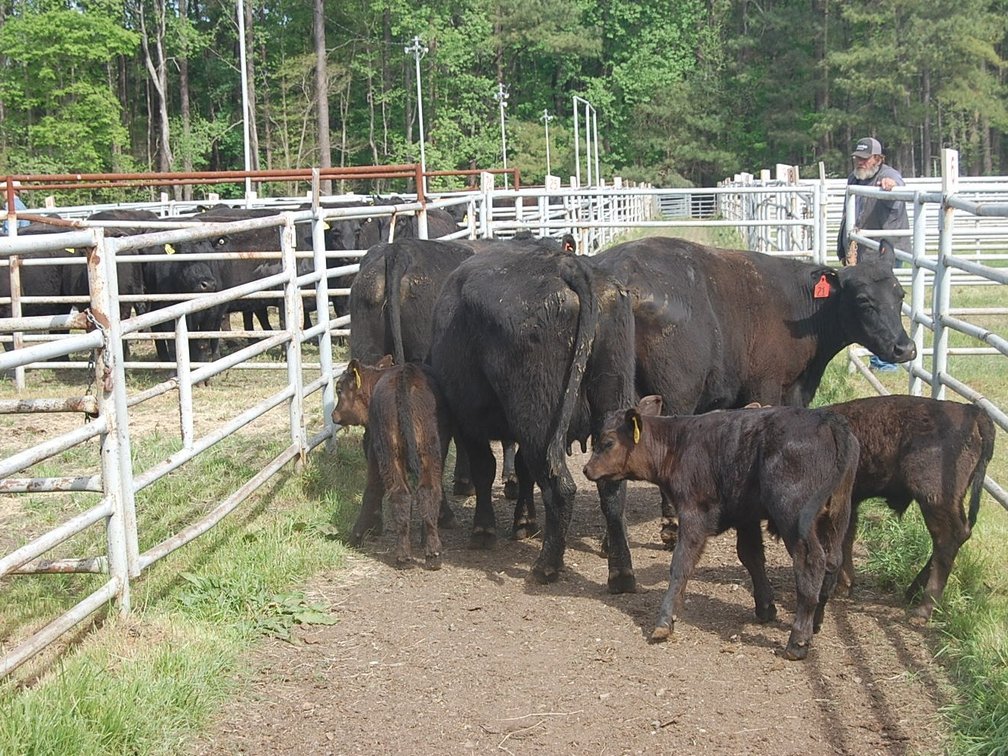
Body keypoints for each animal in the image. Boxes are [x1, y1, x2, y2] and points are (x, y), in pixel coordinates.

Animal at [331, 356, 456, 560]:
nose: (334, 415)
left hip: (388, 449)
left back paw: (403, 553)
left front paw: (357, 536)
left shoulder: (375, 449)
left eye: (339, 389)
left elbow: (372, 489)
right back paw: (432, 548)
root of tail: (404, 377)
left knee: (399, 492)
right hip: (428, 445)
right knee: (428, 489)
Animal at [429, 248, 638, 589]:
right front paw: (524, 522)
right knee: (611, 490)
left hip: (539, 422)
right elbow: (522, 470)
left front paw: (484, 530)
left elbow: (485, 470)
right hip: (609, 402)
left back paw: (546, 566)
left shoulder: (470, 424)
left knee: (560, 488)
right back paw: (621, 574)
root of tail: (567, 264)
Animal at [583, 396, 858, 660]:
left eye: (608, 442)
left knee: (811, 563)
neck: (678, 445)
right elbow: (751, 556)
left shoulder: (694, 513)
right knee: (832, 561)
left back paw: (797, 641)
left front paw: (664, 621)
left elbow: (681, 564)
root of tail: (827, 419)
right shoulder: (746, 517)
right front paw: (765, 607)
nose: (586, 469)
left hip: (794, 516)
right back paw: (815, 622)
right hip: (836, 516)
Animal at [591, 236, 915, 545]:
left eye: (900, 295)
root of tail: (621, 271)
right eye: (863, 300)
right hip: (676, 394)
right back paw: (670, 526)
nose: (905, 348)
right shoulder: (767, 387)